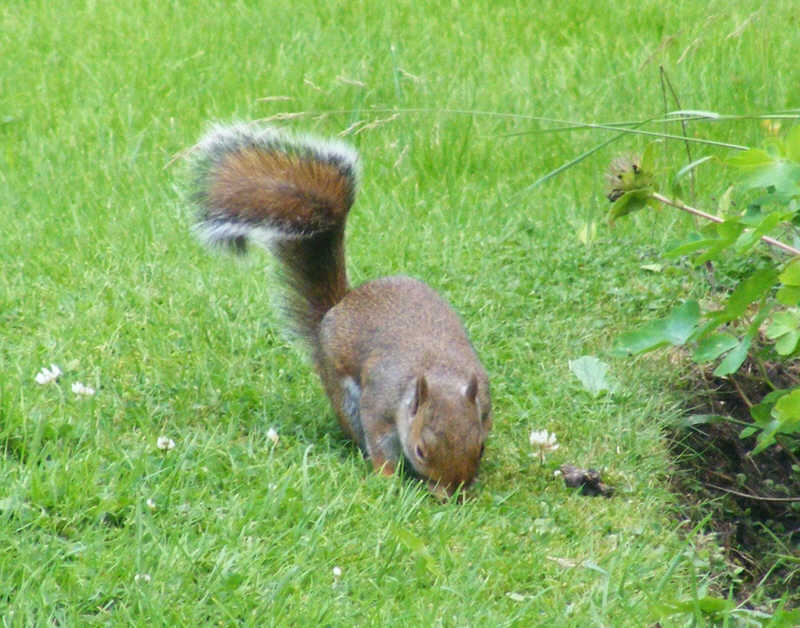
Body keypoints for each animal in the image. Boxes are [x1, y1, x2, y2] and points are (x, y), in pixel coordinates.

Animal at [188, 123, 492, 497]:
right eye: (421, 450)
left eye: (481, 447)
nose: (451, 496)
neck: (438, 373)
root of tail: (340, 305)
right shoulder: (378, 405)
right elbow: (379, 443)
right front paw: (386, 478)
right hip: (343, 391)